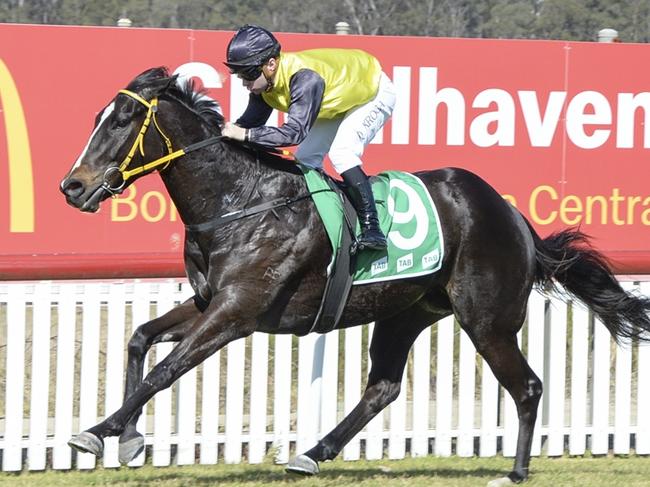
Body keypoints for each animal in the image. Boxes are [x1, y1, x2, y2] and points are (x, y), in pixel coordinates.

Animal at [58, 67, 644, 484]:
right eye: (95, 118)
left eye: (120, 121)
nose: (72, 187)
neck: (240, 201)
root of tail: (513, 215)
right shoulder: (209, 303)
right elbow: (140, 339)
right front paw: (127, 438)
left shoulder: (237, 312)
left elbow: (166, 370)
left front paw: (98, 431)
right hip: (406, 311)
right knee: (382, 388)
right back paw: (313, 453)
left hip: (487, 319)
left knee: (526, 385)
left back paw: (515, 472)